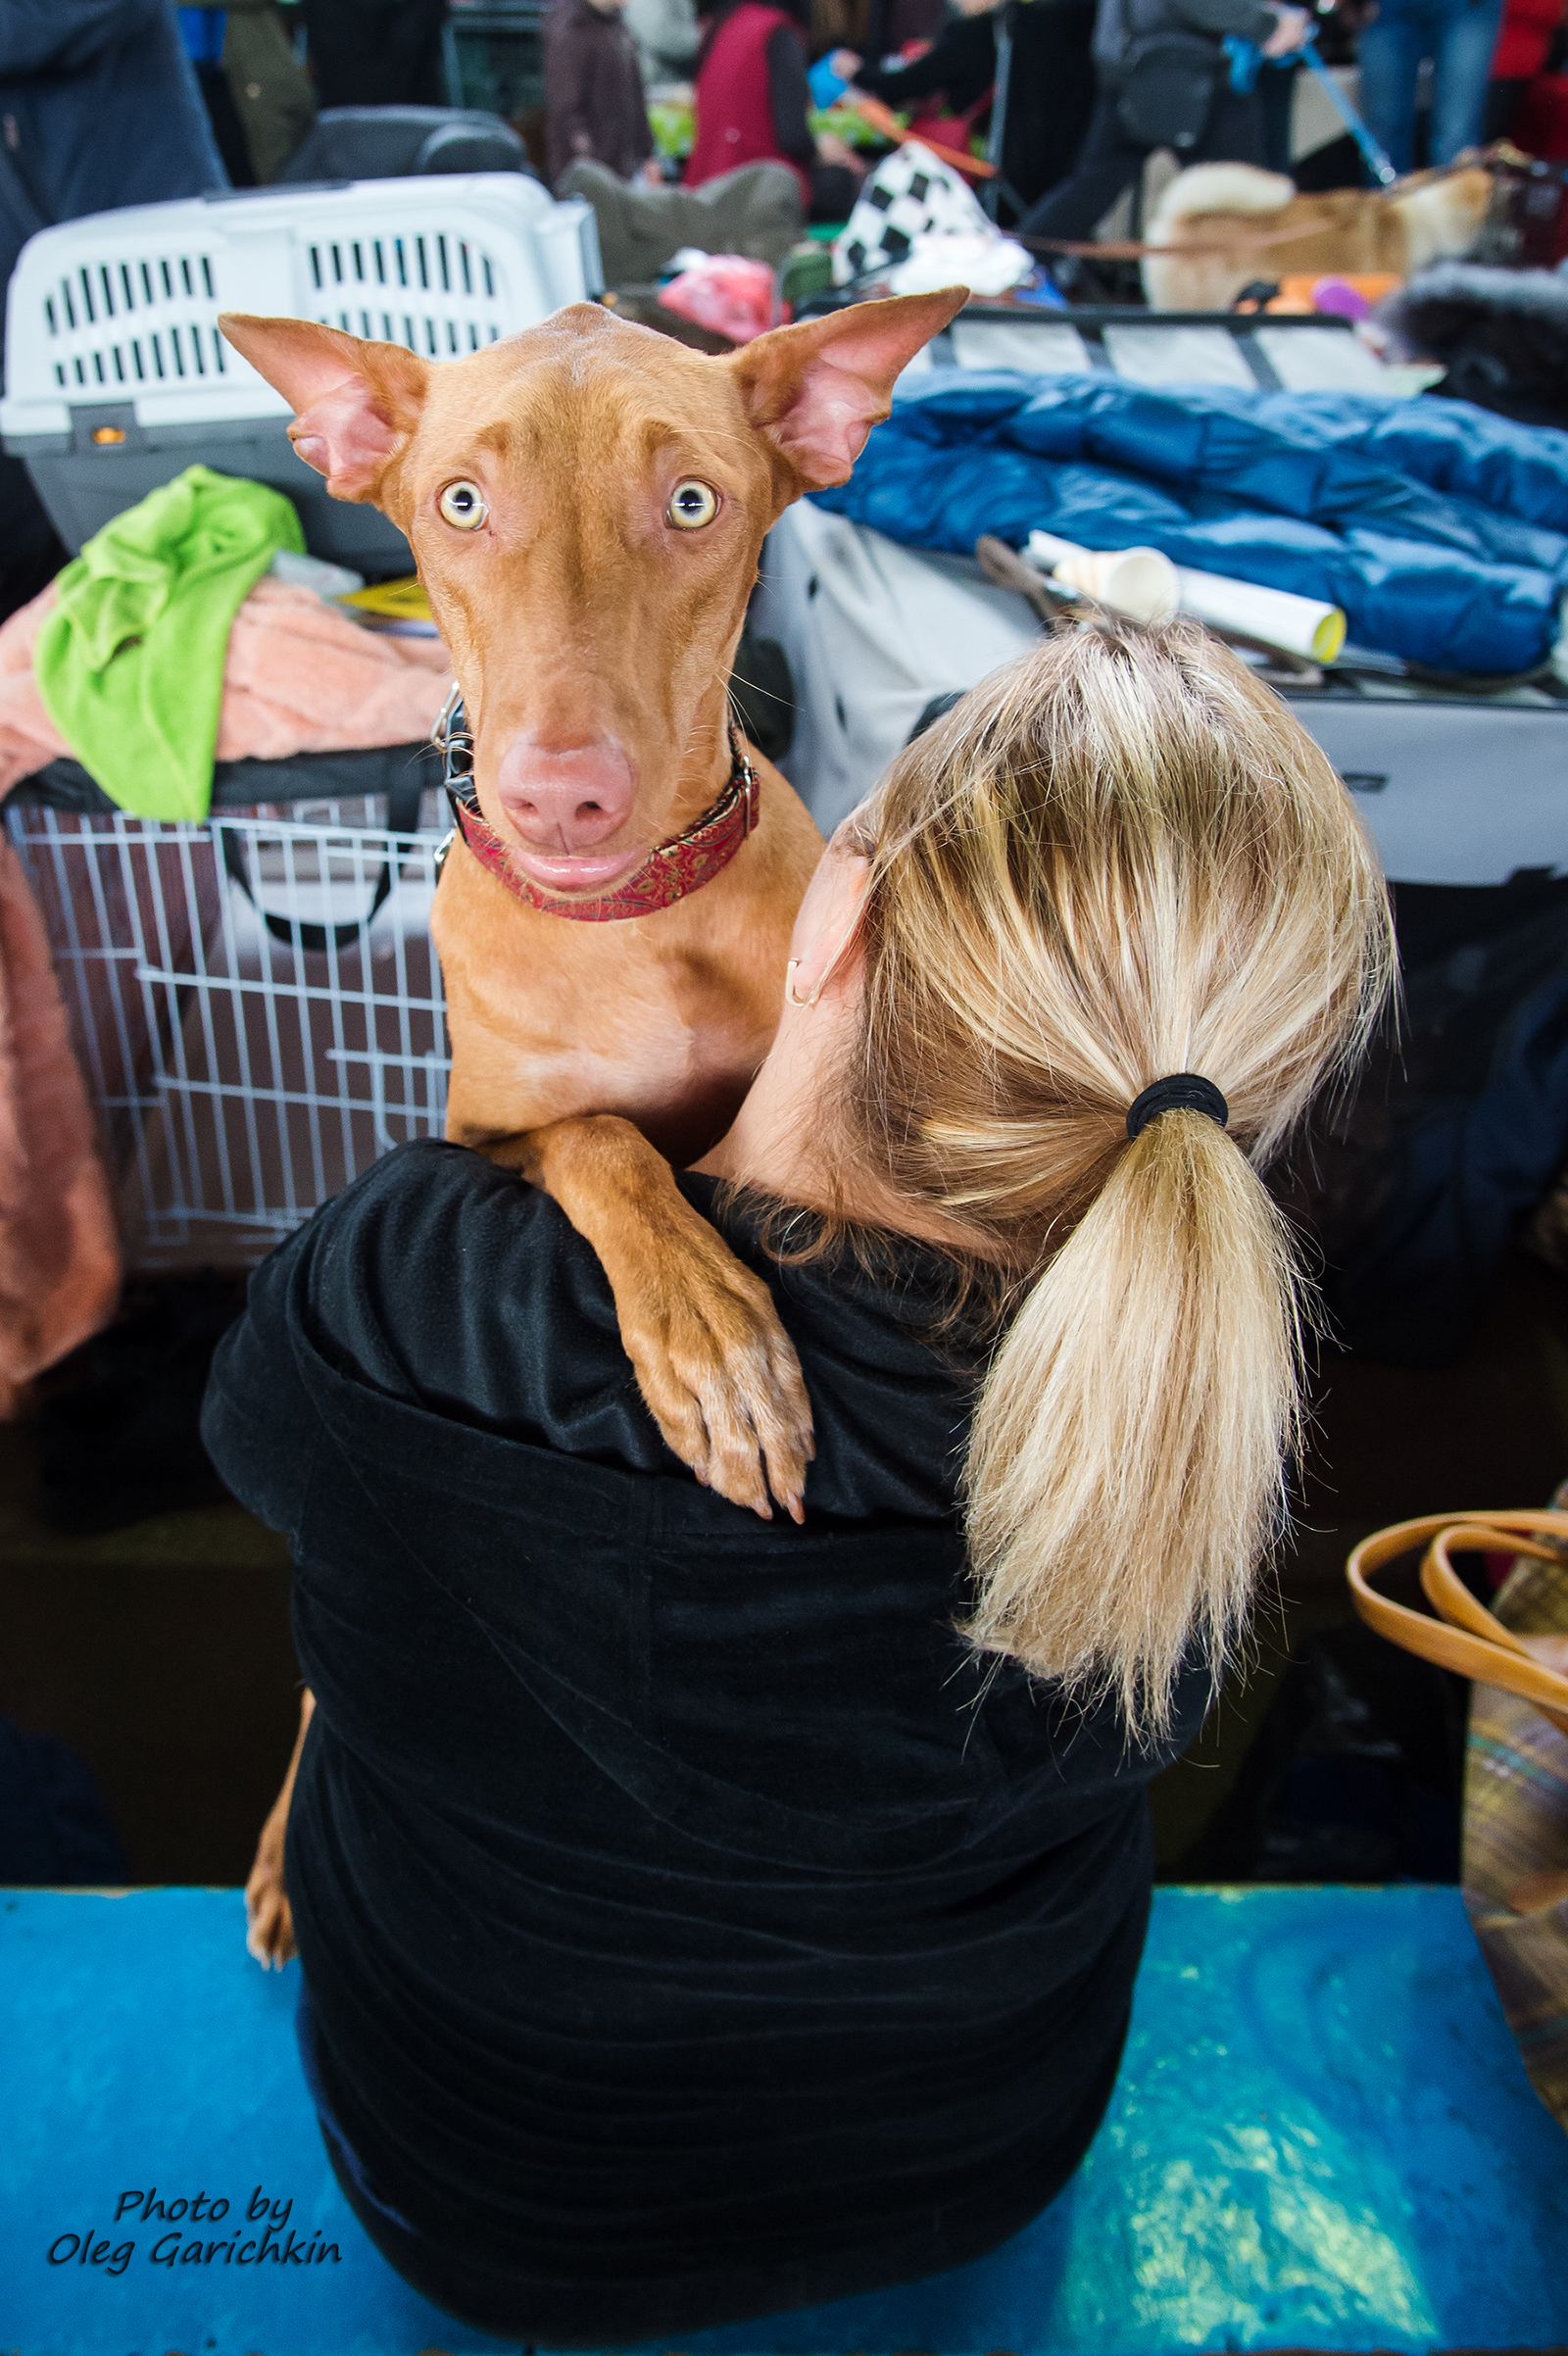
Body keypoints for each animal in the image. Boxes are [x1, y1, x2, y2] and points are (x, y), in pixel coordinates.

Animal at [218, 284, 951, 1960]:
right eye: (458, 505)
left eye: (689, 504)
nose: (564, 801)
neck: (628, 923)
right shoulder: (485, 1144)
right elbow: (602, 1144)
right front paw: (715, 1344)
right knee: (312, 1692)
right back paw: (282, 1851)